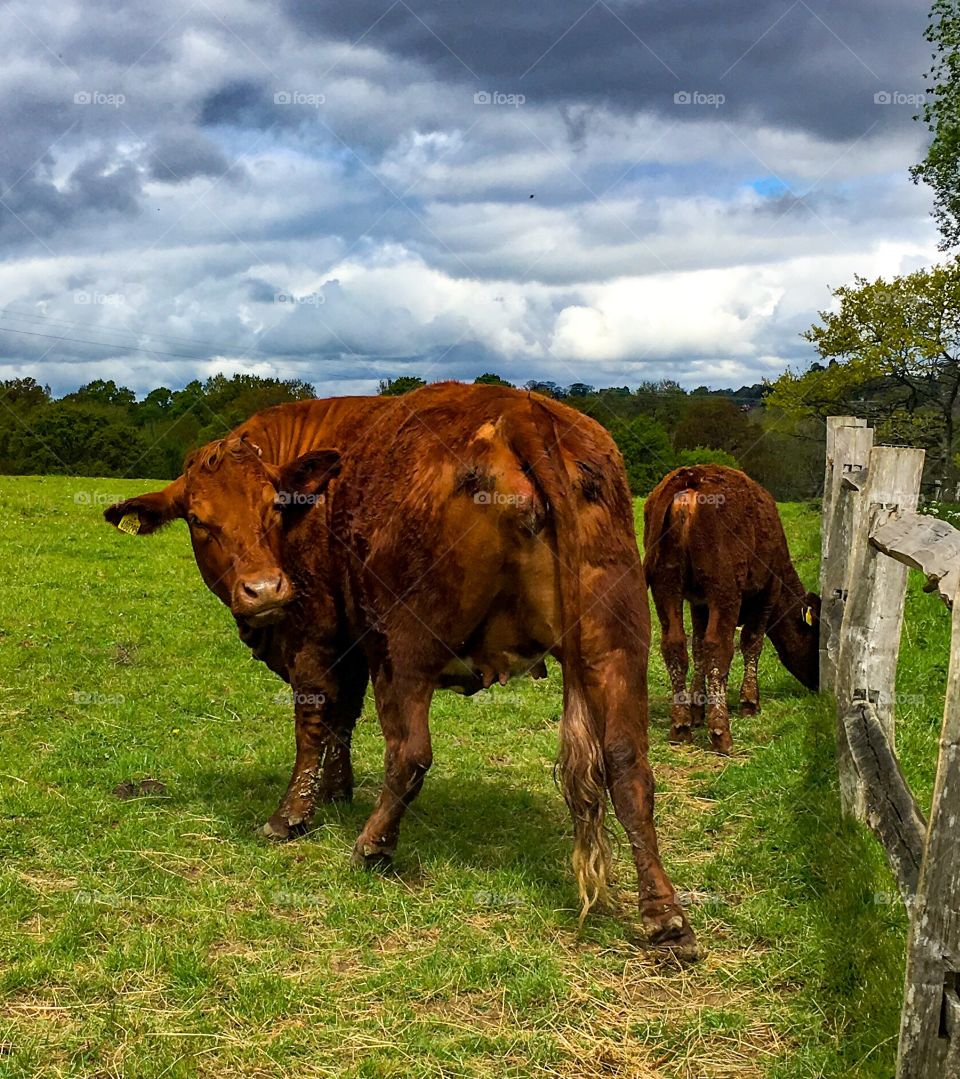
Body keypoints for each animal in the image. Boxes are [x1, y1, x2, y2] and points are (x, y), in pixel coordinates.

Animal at [104, 384, 690, 958]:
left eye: (272, 507)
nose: (265, 589)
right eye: (199, 521)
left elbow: (314, 722)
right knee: (628, 766)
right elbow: (342, 718)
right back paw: (665, 917)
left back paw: (372, 845)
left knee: (410, 753)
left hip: (404, 649)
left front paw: (292, 815)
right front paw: (336, 791)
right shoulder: (353, 645)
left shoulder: (316, 636)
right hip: (614, 647)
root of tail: (522, 410)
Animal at [638, 461, 819, 750]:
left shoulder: (699, 603)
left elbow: (698, 649)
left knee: (674, 644)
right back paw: (720, 731)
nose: (819, 683)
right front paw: (750, 702)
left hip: (666, 586)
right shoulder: (768, 591)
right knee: (718, 646)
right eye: (817, 639)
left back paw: (681, 725)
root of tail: (691, 478)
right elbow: (752, 643)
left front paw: (697, 707)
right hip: (724, 591)